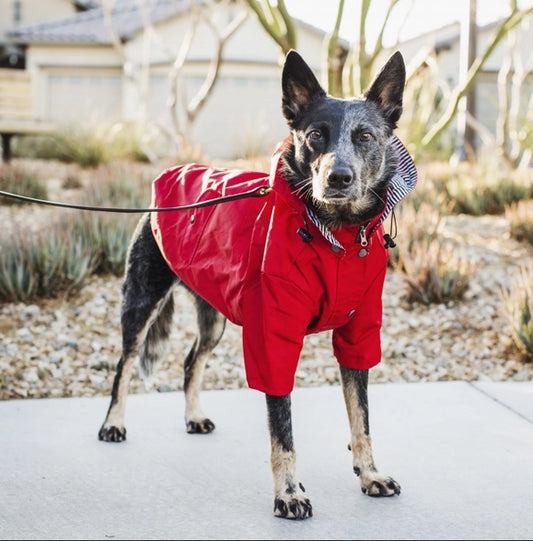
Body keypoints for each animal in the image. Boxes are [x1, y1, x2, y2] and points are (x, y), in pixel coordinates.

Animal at [98, 49, 416, 520]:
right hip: (142, 301)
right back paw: (113, 423)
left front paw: (370, 473)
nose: (337, 178)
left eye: (365, 136)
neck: (335, 235)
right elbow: (283, 434)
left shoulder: (358, 335)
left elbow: (361, 420)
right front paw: (289, 493)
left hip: (213, 318)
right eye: (316, 135)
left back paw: (193, 416)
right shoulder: (272, 339)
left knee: (191, 361)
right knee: (124, 364)